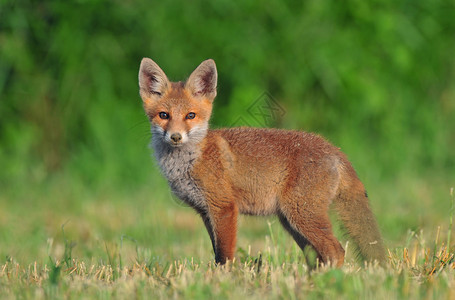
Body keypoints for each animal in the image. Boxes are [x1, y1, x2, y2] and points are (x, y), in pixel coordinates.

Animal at [137, 57, 386, 266]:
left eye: (190, 116)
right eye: (164, 115)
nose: (175, 137)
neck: (190, 161)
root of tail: (333, 148)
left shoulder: (224, 208)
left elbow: (225, 255)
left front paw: (226, 279)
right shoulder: (206, 212)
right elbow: (216, 252)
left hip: (302, 215)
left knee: (336, 251)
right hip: (292, 222)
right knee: (317, 255)